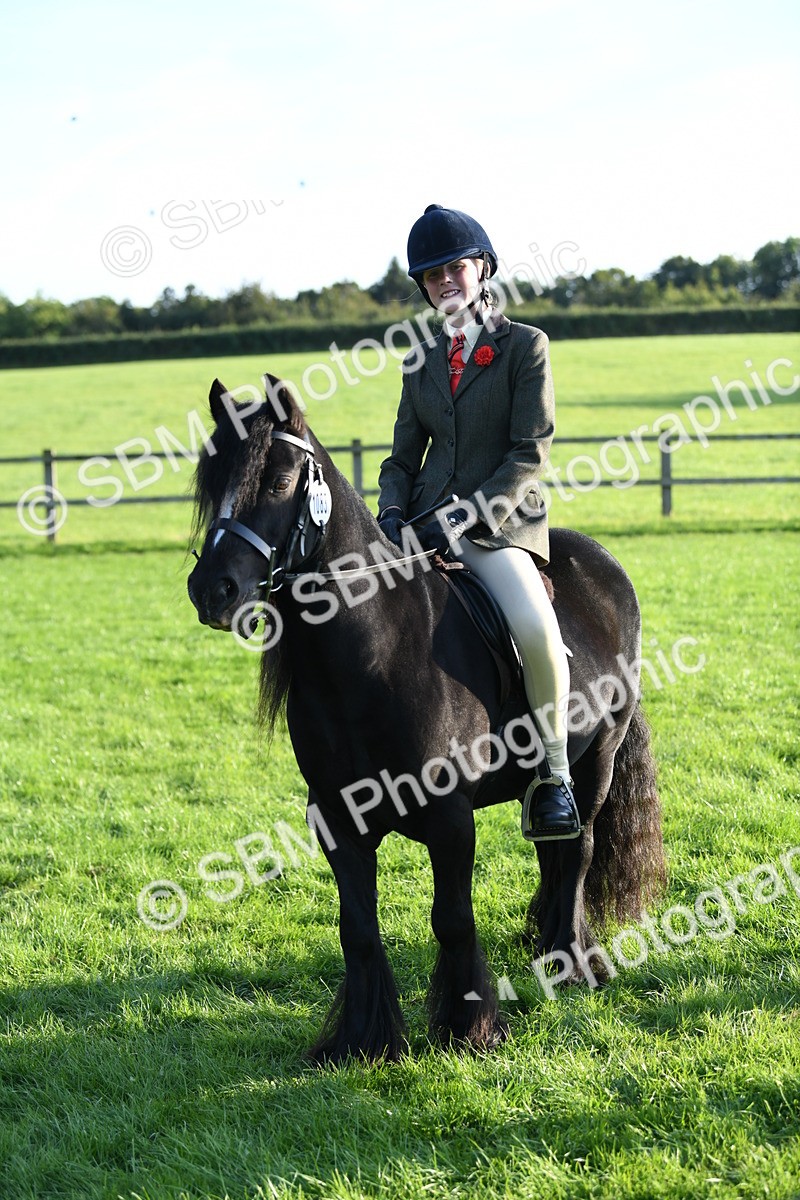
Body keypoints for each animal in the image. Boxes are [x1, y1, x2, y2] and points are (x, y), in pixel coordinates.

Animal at [187, 374, 665, 1064]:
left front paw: (469, 1028)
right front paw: (362, 1038)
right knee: (553, 850)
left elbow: (453, 918)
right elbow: (357, 929)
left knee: (577, 848)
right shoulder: (336, 820)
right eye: (209, 482)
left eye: (276, 481)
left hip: (596, 757)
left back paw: (570, 959)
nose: (211, 590)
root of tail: (602, 563)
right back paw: (542, 940)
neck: (376, 653)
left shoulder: (449, 818)